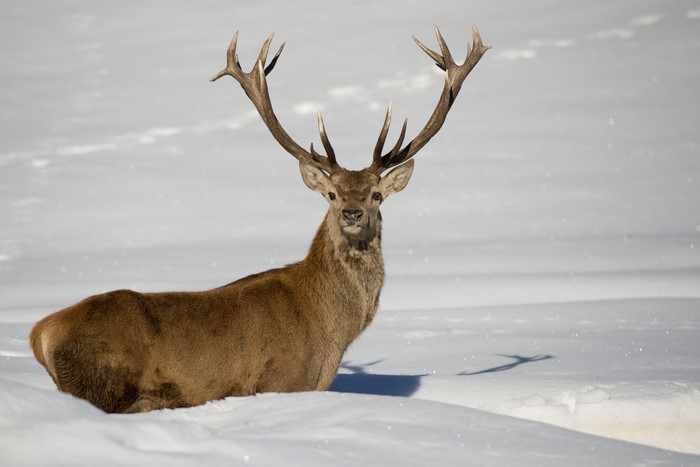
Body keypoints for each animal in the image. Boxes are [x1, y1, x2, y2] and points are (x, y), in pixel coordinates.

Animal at [29, 25, 489, 413]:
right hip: (103, 384)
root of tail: (40, 334)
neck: (329, 332)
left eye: (376, 194)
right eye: (331, 194)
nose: (352, 212)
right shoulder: (281, 382)